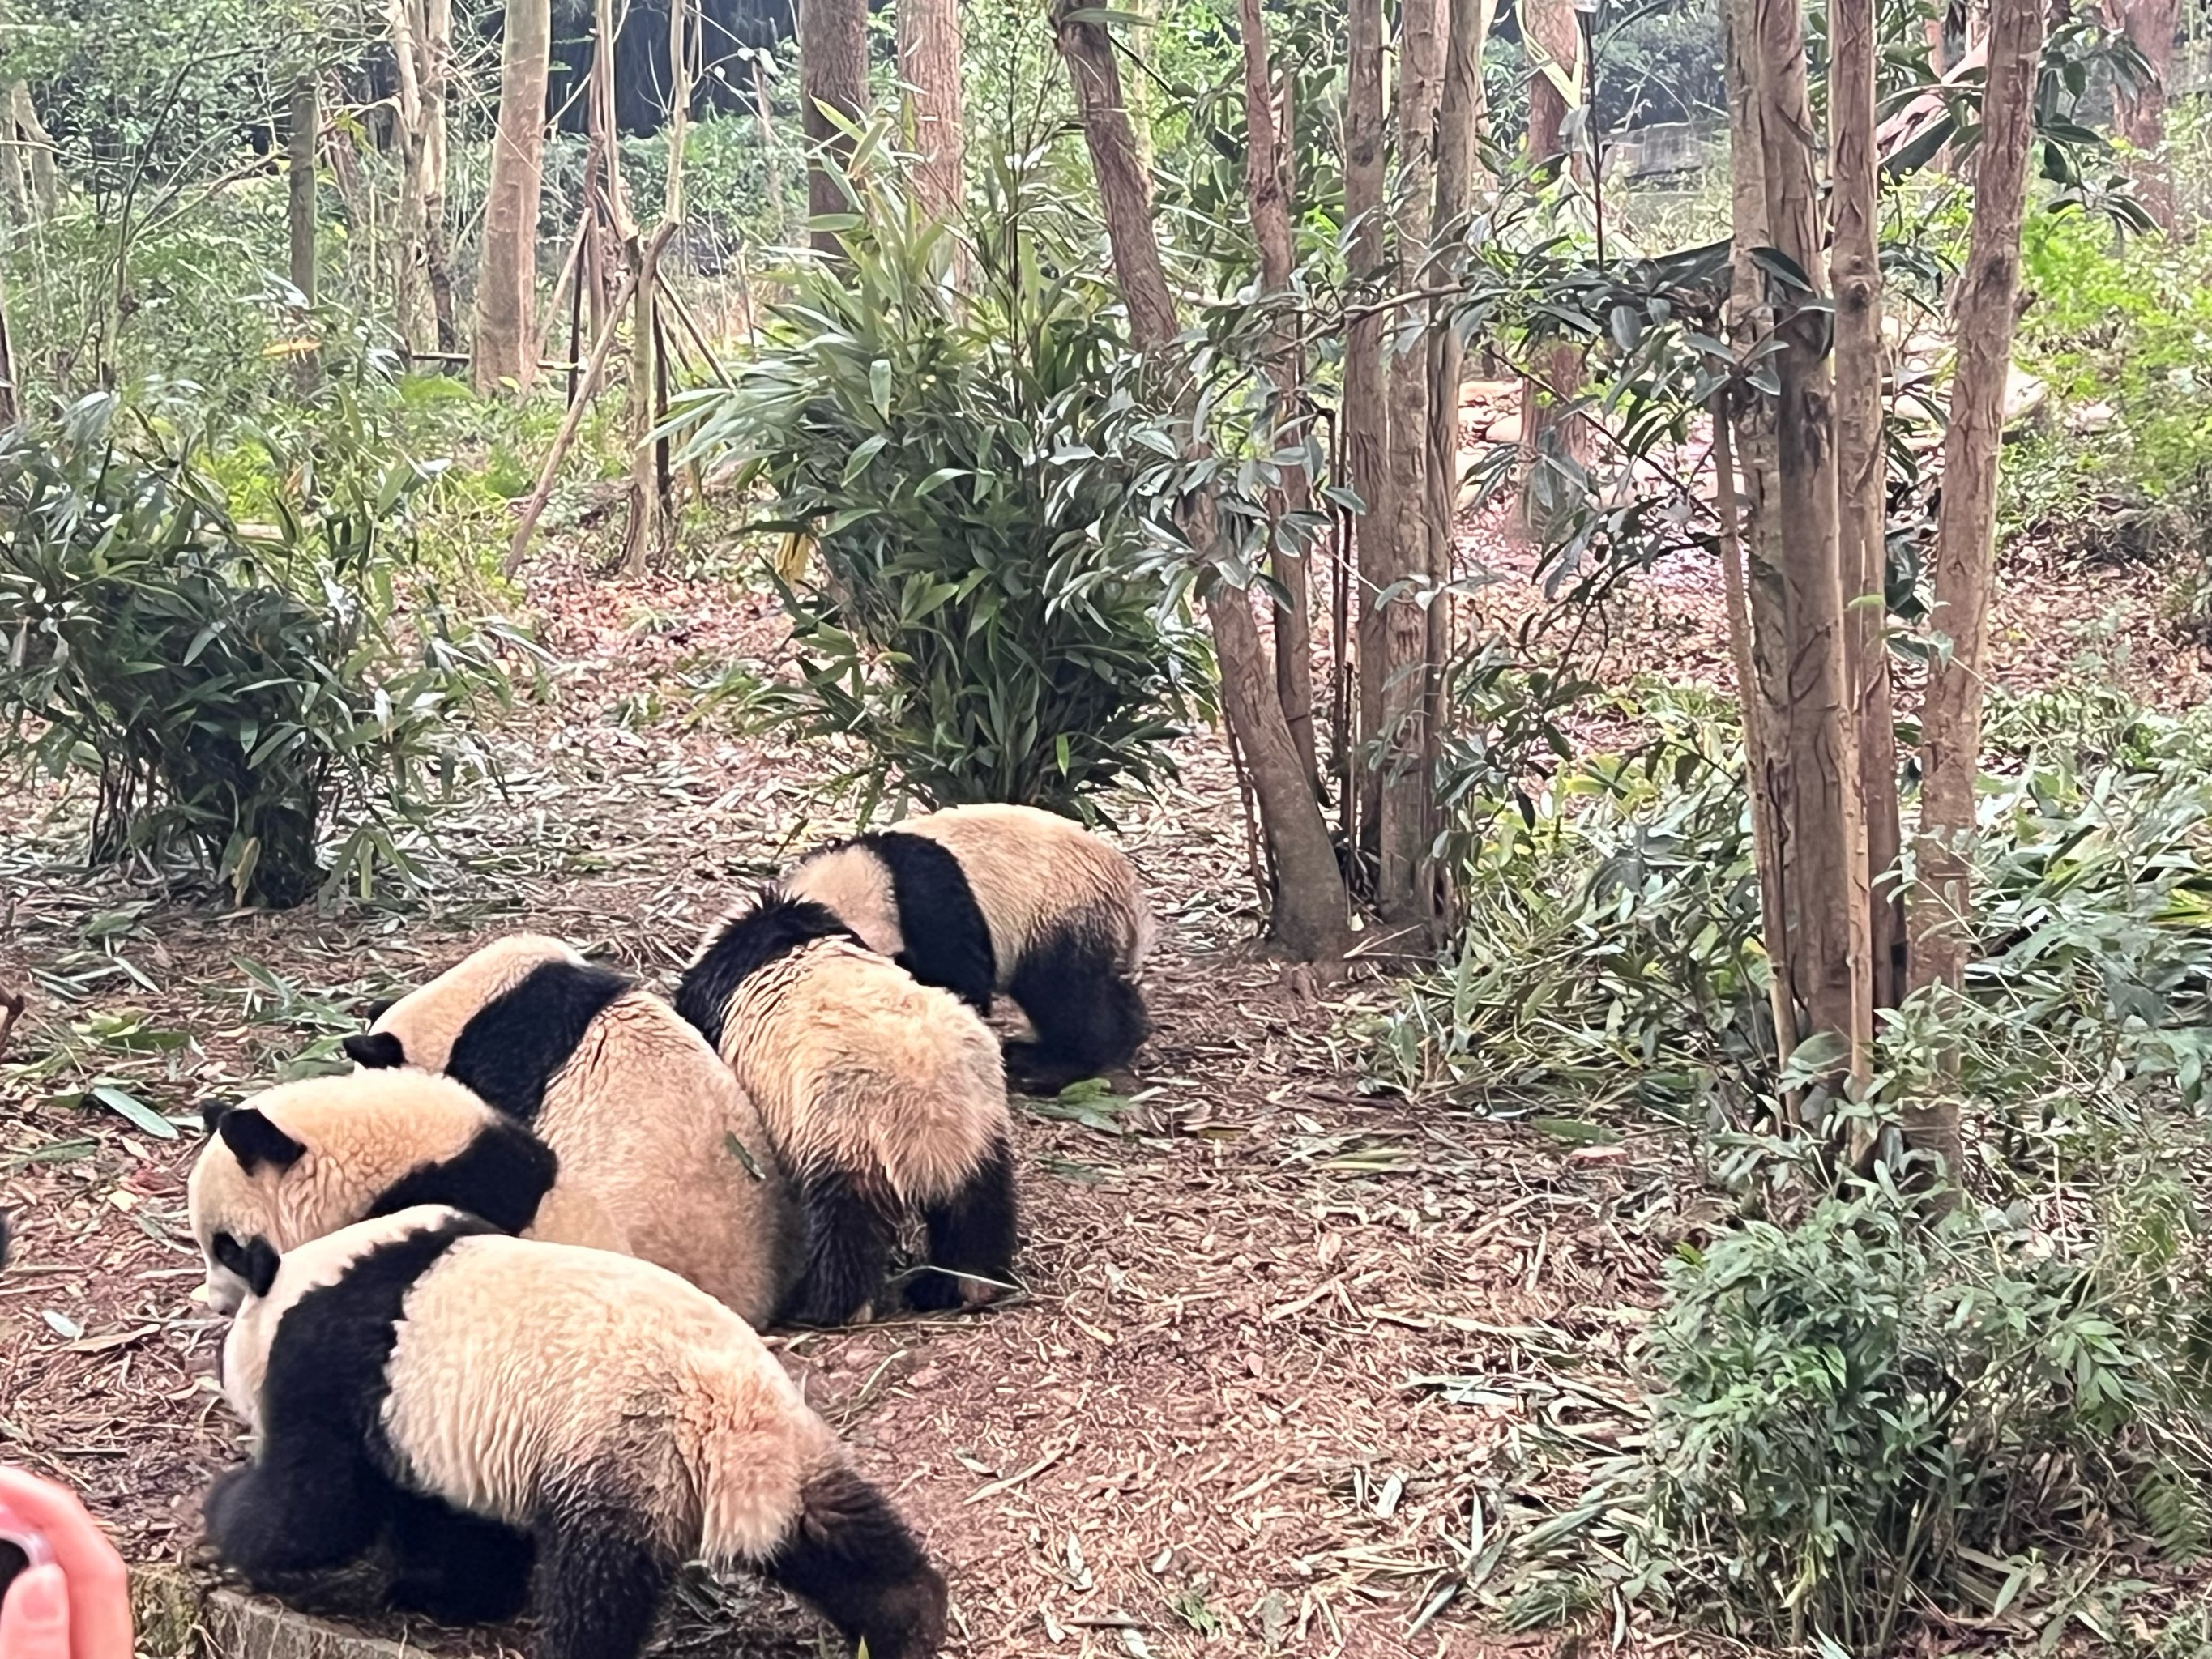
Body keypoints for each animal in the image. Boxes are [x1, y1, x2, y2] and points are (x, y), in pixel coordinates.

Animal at [196, 1212, 942, 1659]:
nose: (228, 1391)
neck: (301, 1280)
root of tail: (727, 1418)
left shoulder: (346, 1367)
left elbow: (320, 1502)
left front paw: (223, 1518)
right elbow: (459, 1526)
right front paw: (449, 1593)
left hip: (625, 1454)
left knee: (596, 1585)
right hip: (789, 1449)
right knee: (836, 1531)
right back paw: (909, 1620)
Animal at [672, 889, 1017, 1336]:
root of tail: (926, 1101)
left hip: (843, 1137)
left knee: (844, 1234)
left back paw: (830, 1310)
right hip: (981, 1131)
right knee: (978, 1216)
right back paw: (969, 1285)